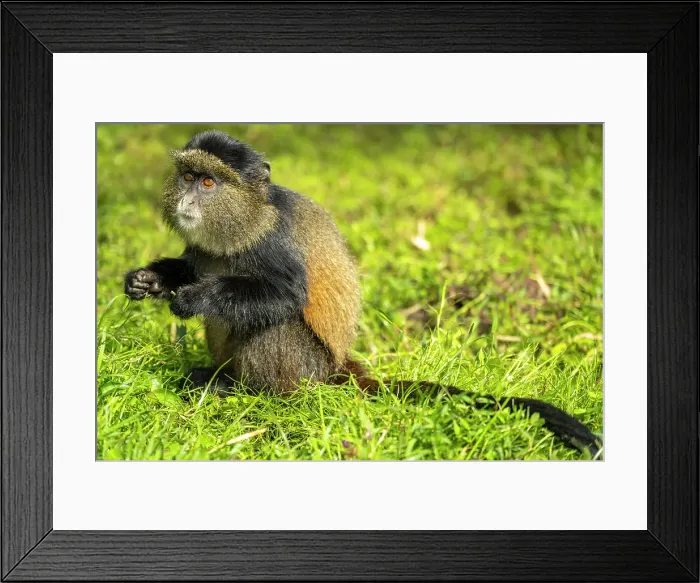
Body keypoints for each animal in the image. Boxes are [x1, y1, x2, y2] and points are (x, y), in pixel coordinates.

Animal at [124, 130, 603, 458]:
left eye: (209, 184)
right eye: (188, 176)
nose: (186, 201)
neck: (245, 220)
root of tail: (338, 370)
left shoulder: (274, 240)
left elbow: (285, 298)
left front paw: (194, 298)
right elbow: (190, 266)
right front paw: (147, 280)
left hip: (306, 370)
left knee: (276, 327)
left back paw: (248, 393)